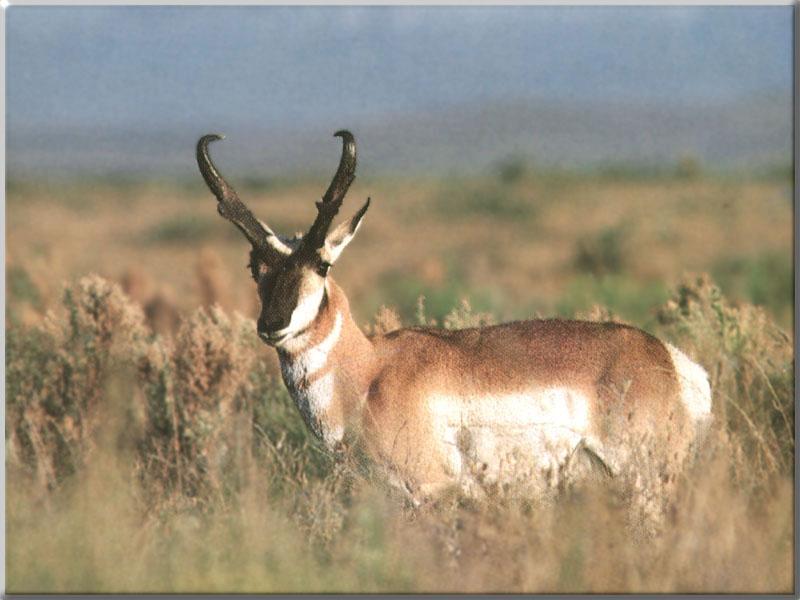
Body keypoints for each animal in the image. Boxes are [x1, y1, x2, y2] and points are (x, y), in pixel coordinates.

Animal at [198, 131, 712, 516]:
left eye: (322, 265)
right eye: (255, 268)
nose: (273, 325)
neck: (369, 371)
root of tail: (671, 360)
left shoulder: (428, 495)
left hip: (645, 488)